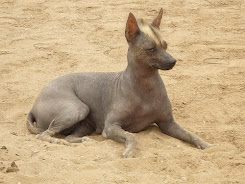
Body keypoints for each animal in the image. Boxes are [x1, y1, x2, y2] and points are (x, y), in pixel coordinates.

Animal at [25, 8, 212, 157]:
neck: (145, 85)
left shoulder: (168, 124)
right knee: (43, 135)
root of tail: (33, 106)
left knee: (69, 136)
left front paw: (206, 144)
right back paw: (58, 142)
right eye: (151, 49)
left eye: (165, 45)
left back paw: (81, 141)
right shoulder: (111, 127)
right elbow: (131, 136)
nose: (173, 61)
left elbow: (190, 134)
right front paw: (130, 150)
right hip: (77, 109)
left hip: (84, 124)